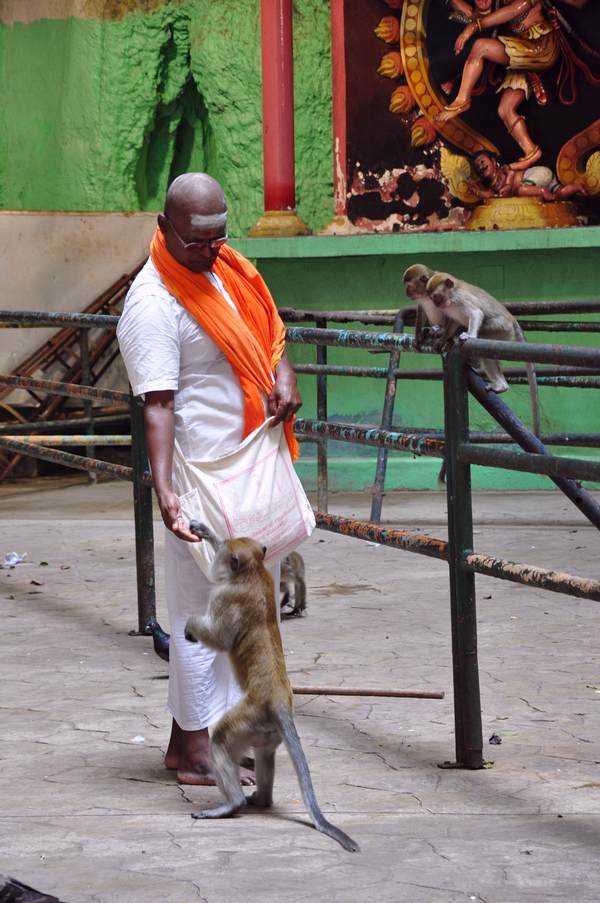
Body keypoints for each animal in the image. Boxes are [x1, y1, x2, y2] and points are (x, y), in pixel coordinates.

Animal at [183, 520, 360, 852]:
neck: (253, 571)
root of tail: (278, 702)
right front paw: (204, 530)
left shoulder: (226, 595)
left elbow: (219, 638)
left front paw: (190, 627)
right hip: (265, 730)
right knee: (265, 754)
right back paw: (262, 799)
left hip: (248, 717)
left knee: (221, 739)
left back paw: (232, 804)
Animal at [424, 270, 540, 436]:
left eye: (436, 297)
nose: (435, 304)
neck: (452, 295)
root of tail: (512, 319)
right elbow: (454, 323)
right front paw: (443, 339)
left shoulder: (462, 299)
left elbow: (476, 313)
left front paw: (470, 335)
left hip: (500, 329)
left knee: (485, 341)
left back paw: (496, 382)